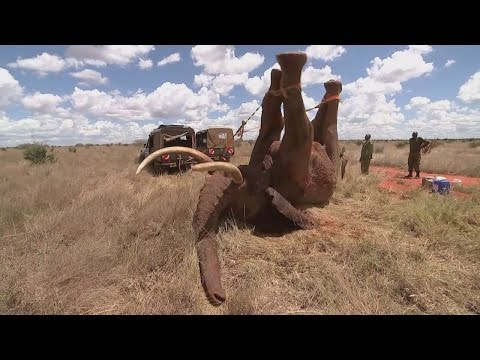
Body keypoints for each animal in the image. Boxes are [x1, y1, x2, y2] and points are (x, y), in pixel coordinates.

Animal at [137, 51, 344, 306]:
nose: (220, 297)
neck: (265, 171)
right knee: (309, 125)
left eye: (240, 191)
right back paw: (285, 75)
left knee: (319, 130)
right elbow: (272, 125)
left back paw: (302, 68)